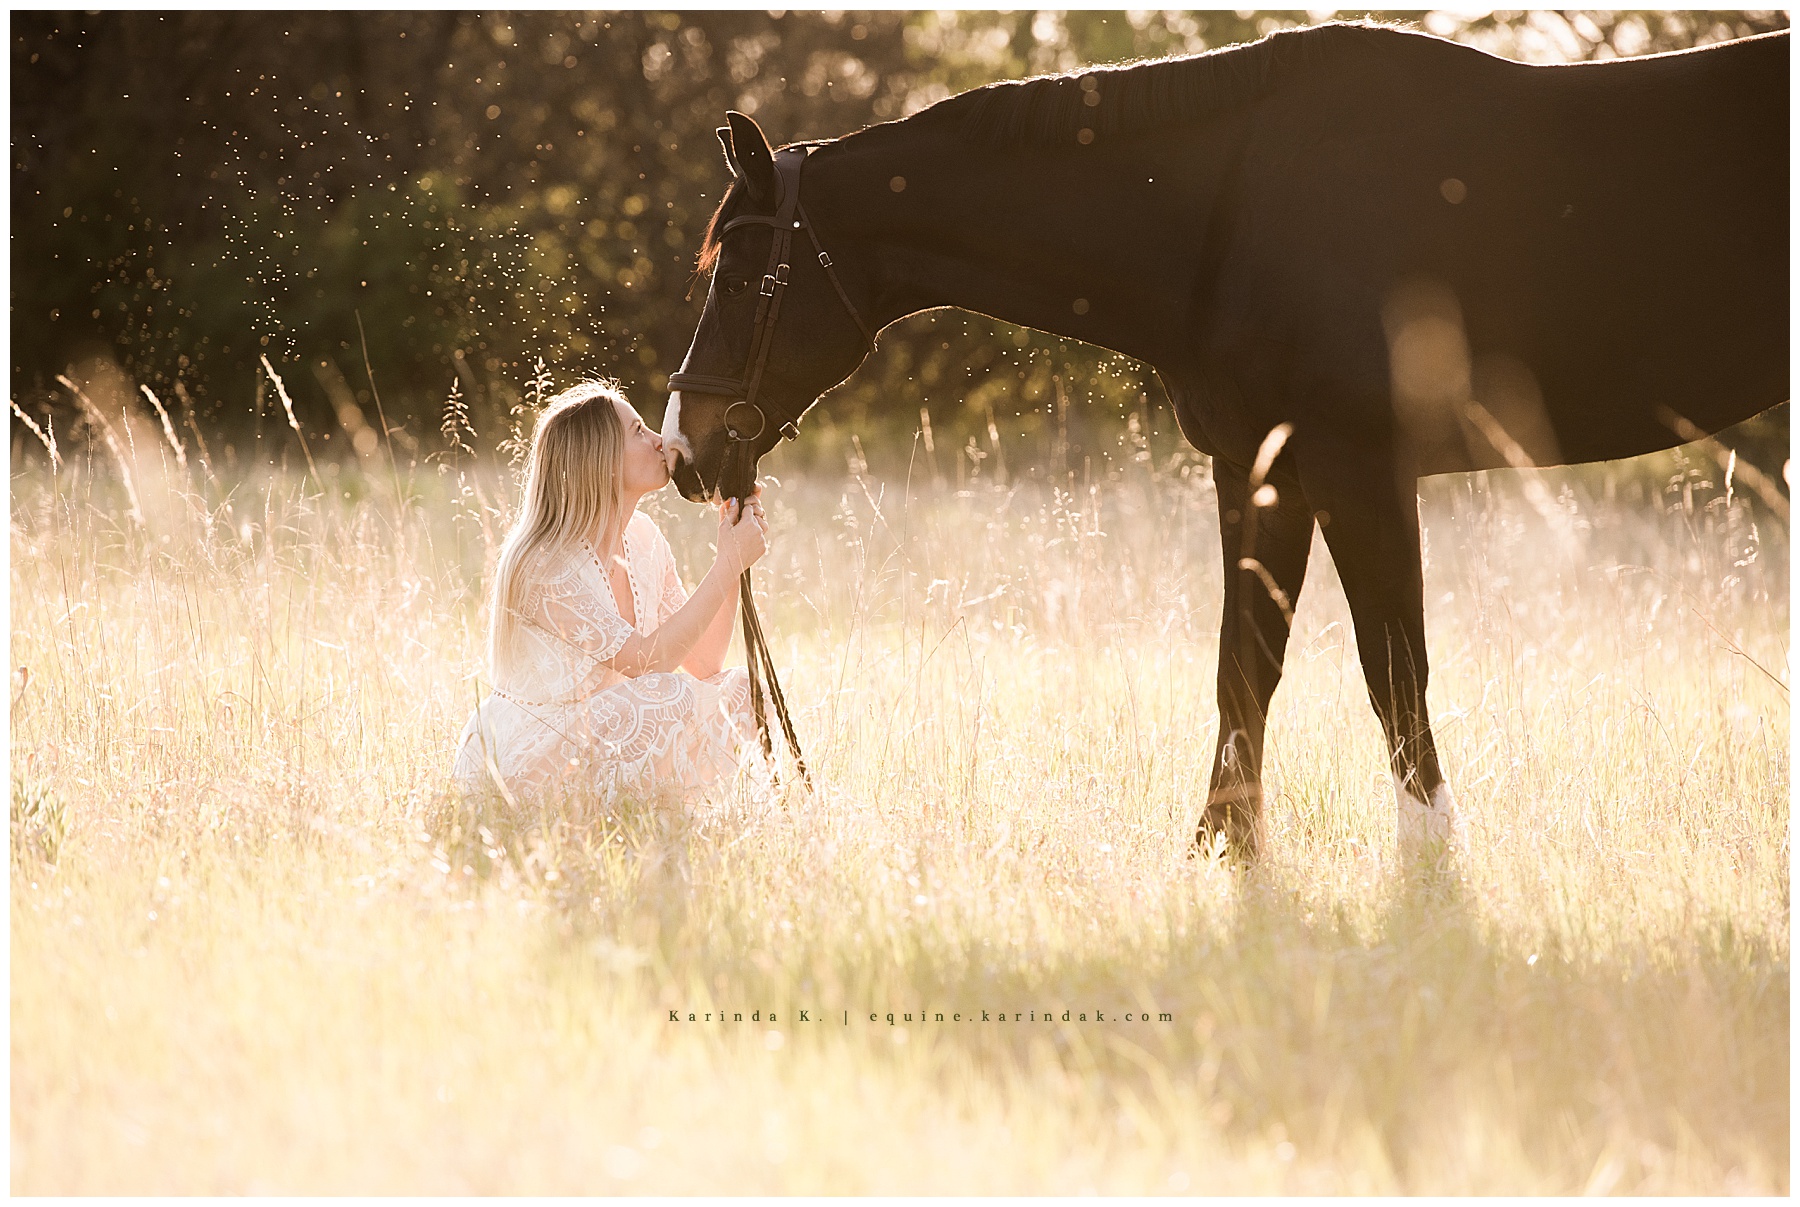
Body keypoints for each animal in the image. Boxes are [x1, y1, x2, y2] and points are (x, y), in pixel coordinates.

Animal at [661, 21, 1788, 861]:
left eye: (741, 270)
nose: (684, 450)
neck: (1237, 207)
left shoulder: (1359, 470)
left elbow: (1393, 669)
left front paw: (1429, 864)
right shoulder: (1258, 469)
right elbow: (1246, 662)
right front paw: (1225, 850)